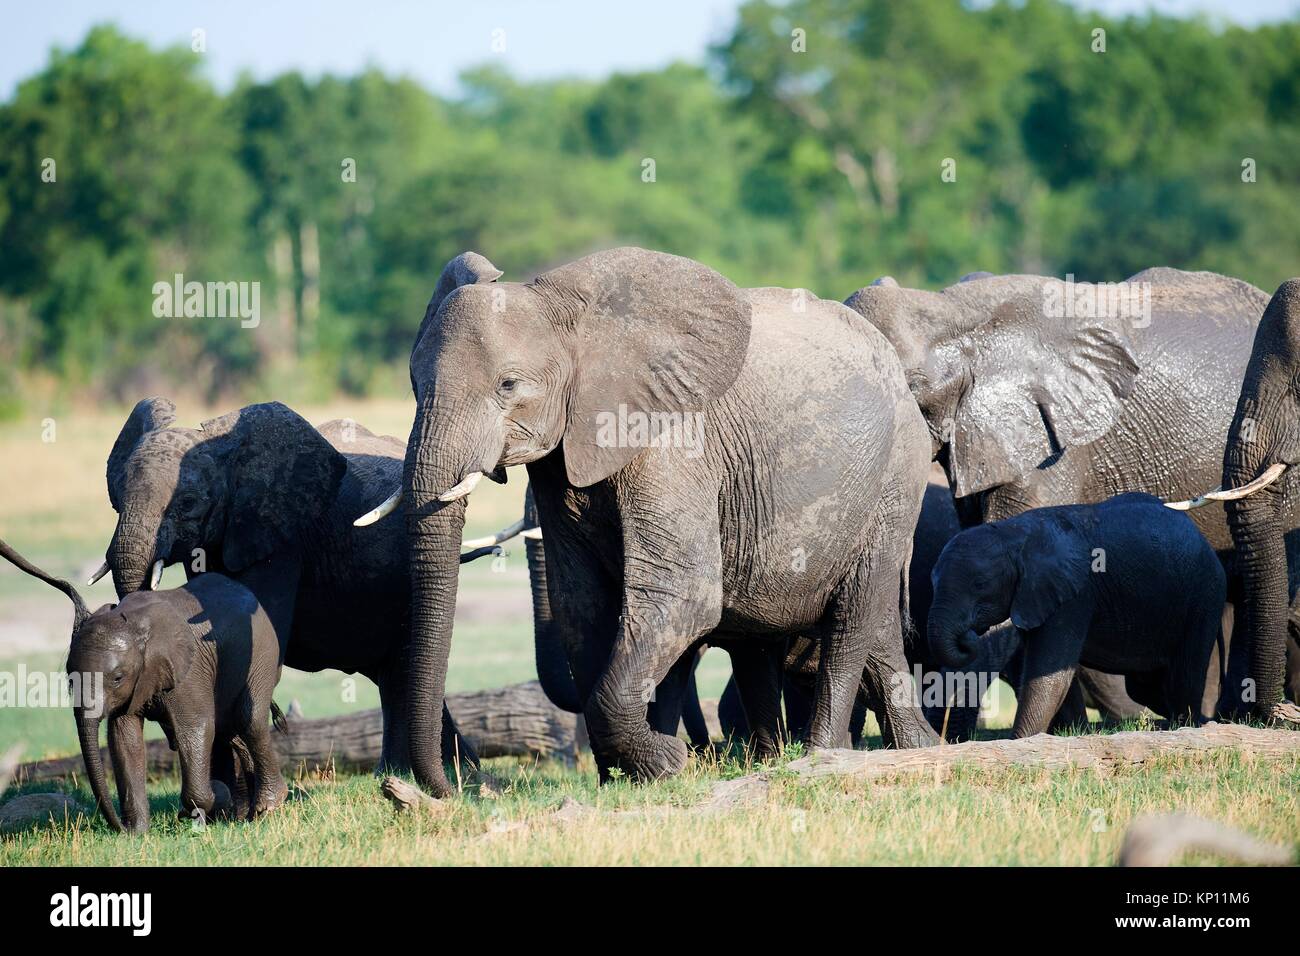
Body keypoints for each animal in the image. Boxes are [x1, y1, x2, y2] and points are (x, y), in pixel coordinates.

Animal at [1, 538, 287, 833]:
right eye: (70, 679)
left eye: (117, 678)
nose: (119, 826)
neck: (134, 627)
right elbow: (123, 737)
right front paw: (137, 833)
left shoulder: (188, 671)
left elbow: (195, 728)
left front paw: (197, 810)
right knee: (230, 729)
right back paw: (242, 815)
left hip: (263, 652)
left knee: (248, 718)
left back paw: (266, 807)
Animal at [95, 399, 497, 780]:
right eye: (116, 498)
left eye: (188, 503)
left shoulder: (282, 541)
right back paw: (455, 769)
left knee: (402, 667)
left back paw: (407, 772)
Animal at [362, 246, 939, 794]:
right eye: (414, 384)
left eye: (508, 385)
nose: (457, 789)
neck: (573, 317)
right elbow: (583, 606)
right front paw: (630, 777)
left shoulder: (673, 446)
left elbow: (680, 593)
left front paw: (667, 763)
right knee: (841, 631)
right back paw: (911, 750)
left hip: (895, 478)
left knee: (852, 616)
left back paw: (821, 757)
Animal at [928, 493, 1225, 736]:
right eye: (933, 581)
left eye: (980, 584)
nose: (968, 636)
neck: (1015, 533)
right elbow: (1052, 672)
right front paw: (1072, 733)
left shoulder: (1074, 595)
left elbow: (1048, 672)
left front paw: (1022, 741)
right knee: (1145, 687)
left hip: (1203, 596)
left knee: (1184, 676)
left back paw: (1186, 725)